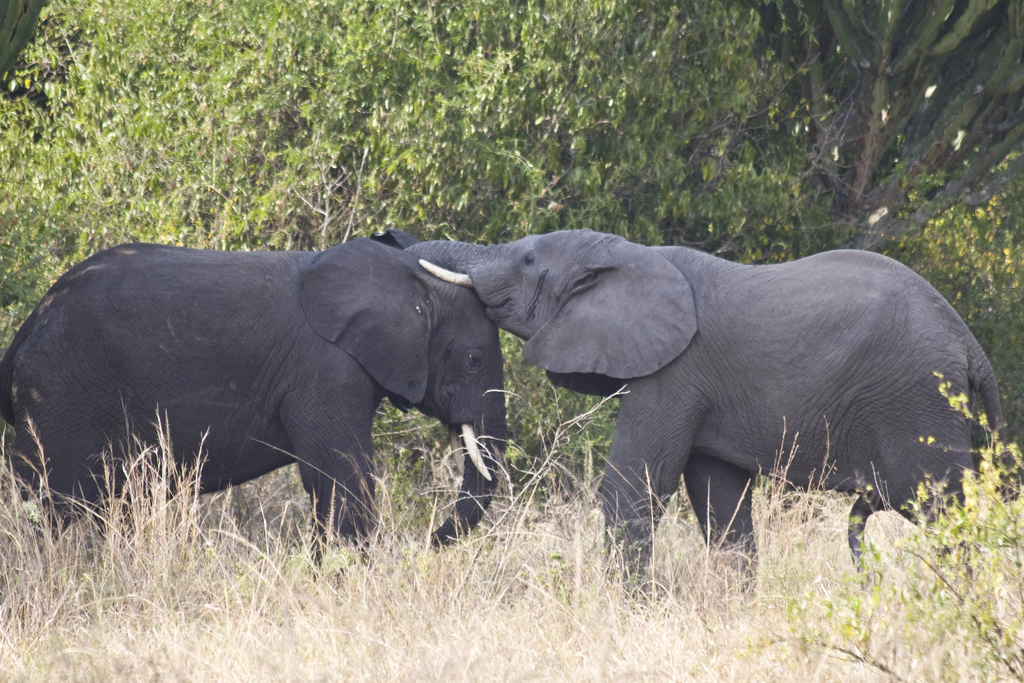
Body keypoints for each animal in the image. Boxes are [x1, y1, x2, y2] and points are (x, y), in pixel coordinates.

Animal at [0, 232, 503, 548]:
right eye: (473, 360)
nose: (429, 538)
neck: (404, 277)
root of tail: (23, 334)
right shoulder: (323, 370)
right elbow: (344, 477)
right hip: (61, 396)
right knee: (47, 505)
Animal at [405, 228, 999, 573]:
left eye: (528, 258)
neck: (631, 255)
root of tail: (971, 346)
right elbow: (722, 505)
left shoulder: (674, 373)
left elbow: (631, 490)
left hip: (918, 402)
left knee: (944, 513)